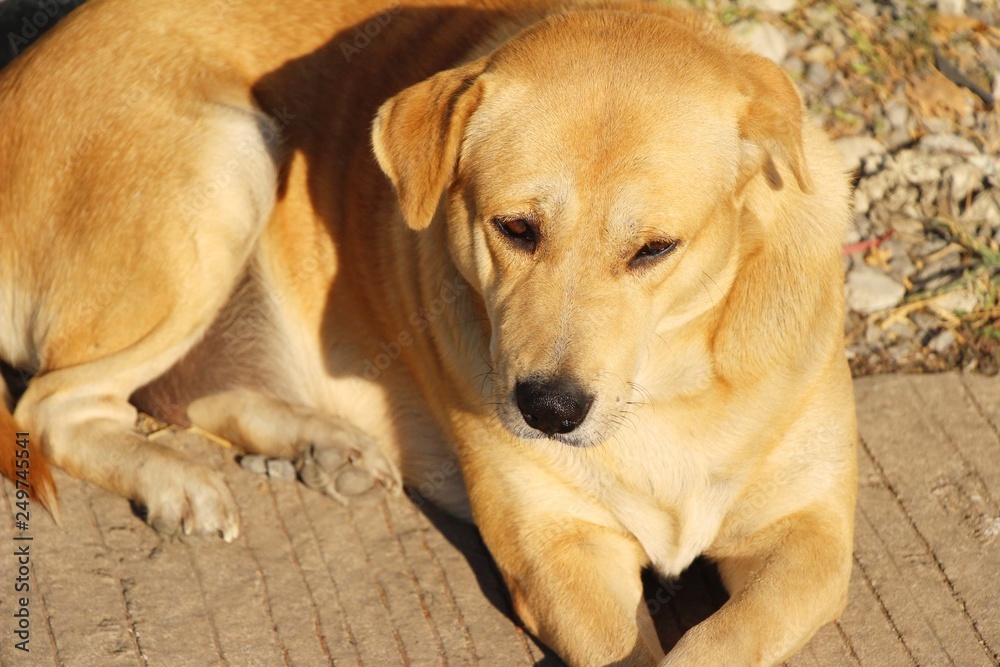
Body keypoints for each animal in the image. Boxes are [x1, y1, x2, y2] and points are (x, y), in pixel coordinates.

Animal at [1, 1, 860, 664]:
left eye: (654, 249)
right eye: (515, 227)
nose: (548, 410)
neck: (671, 389)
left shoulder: (810, 539)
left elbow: (726, 638)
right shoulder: (561, 552)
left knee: (187, 391)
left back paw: (325, 447)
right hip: (221, 166)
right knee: (56, 408)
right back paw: (176, 481)